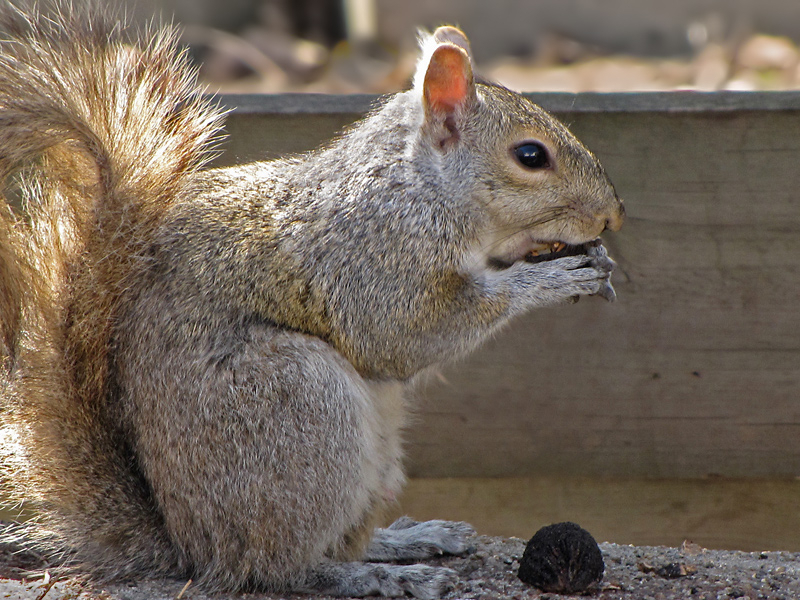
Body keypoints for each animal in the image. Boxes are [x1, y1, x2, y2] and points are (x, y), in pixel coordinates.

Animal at [0, 2, 624, 596]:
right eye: (530, 156)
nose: (613, 215)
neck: (419, 185)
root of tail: (190, 547)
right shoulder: (372, 259)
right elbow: (406, 336)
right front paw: (550, 278)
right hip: (298, 413)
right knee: (281, 568)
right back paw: (377, 577)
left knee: (340, 539)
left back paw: (405, 541)